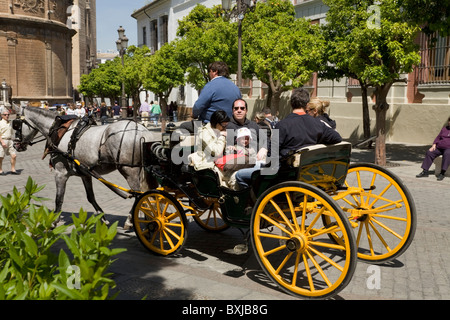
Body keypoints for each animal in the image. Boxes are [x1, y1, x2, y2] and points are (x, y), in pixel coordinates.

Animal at [12, 105, 158, 228]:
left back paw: (130, 220)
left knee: (139, 195)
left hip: (129, 171)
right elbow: (90, 197)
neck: (58, 130)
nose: (15, 145)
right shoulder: (85, 173)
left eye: (16, 125)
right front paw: (102, 217)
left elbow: (59, 198)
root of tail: (143, 131)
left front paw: (54, 221)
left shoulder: (60, 173)